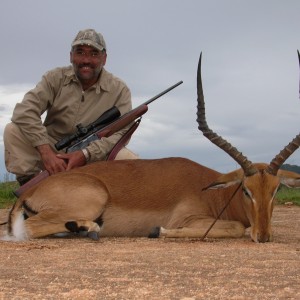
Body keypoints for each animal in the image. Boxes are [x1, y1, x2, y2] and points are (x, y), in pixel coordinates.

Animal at [4, 54, 300, 243]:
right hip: (91, 199)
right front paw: (158, 231)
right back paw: (88, 227)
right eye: (246, 190)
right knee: (22, 230)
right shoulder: (188, 220)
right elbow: (237, 228)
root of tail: (28, 192)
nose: (264, 236)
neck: (215, 194)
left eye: (276, 190)